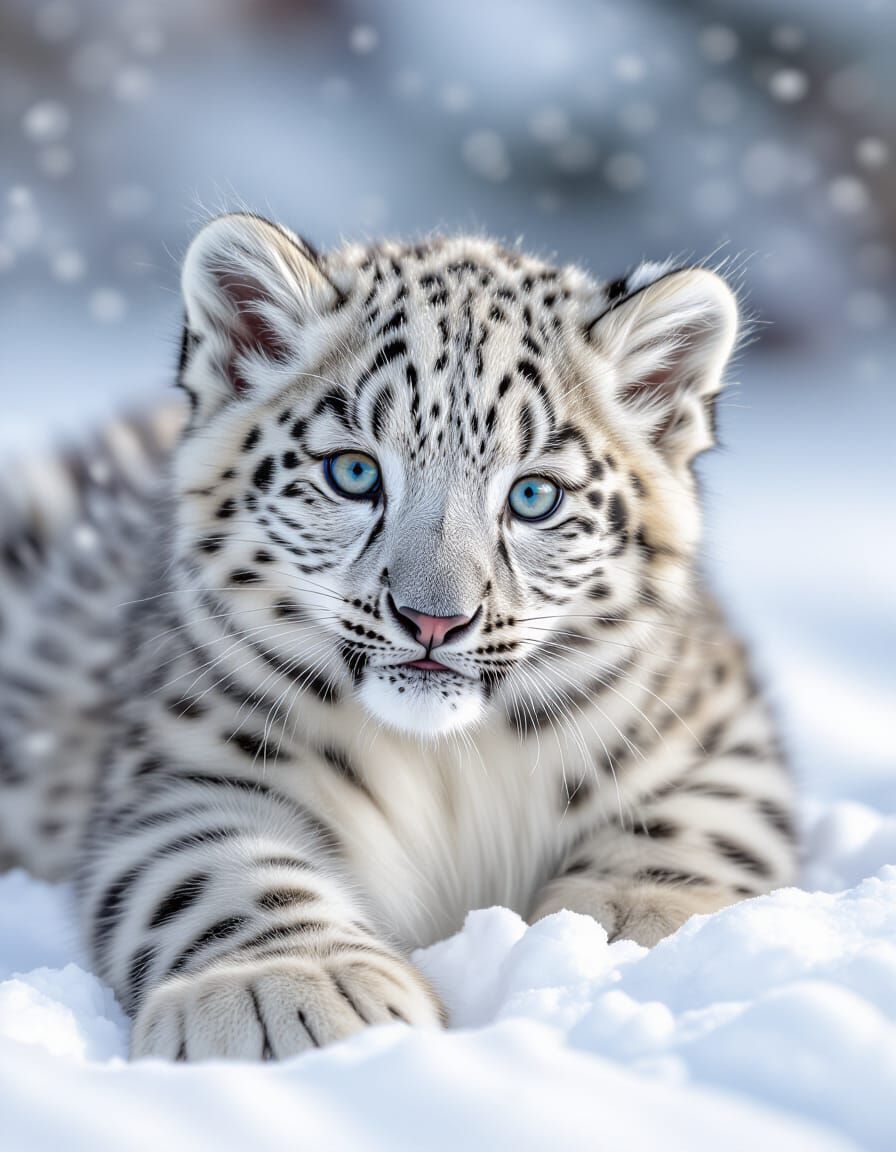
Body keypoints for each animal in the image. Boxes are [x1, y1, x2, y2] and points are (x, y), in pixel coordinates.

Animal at [0, 214, 797, 1061]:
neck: (450, 767)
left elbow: (694, 827)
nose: (434, 618)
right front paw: (287, 989)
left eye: (534, 495)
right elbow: (219, 870)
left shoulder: (717, 736)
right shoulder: (189, 764)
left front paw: (623, 931)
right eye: (354, 473)